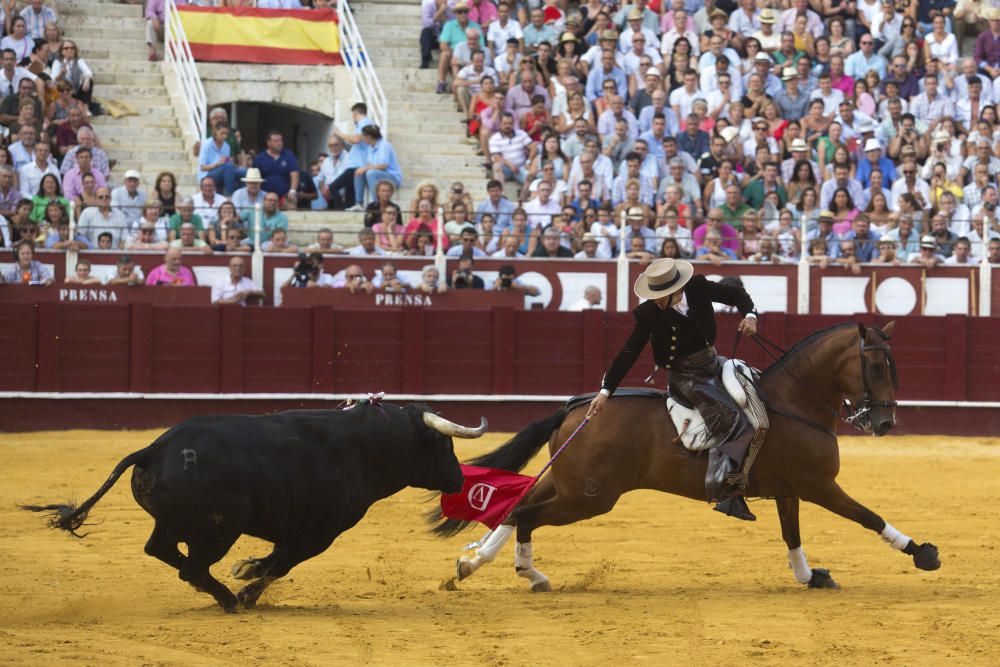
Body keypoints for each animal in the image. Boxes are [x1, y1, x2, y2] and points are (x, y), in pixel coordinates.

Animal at [24, 404, 488, 612]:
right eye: (444, 445)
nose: (459, 479)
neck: (368, 445)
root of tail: (155, 449)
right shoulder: (321, 531)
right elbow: (282, 562)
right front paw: (247, 583)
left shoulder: (301, 528)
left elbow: (277, 558)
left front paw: (248, 572)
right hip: (217, 529)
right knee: (192, 566)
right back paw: (229, 599)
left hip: (179, 524)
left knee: (163, 551)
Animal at [434, 322, 940, 588]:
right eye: (874, 364)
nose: (885, 423)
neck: (794, 401)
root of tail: (580, 406)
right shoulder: (820, 486)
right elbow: (868, 516)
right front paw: (922, 552)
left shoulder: (789, 490)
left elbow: (791, 533)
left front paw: (808, 575)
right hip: (590, 497)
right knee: (526, 514)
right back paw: (528, 573)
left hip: (568, 483)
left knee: (518, 504)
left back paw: (474, 562)